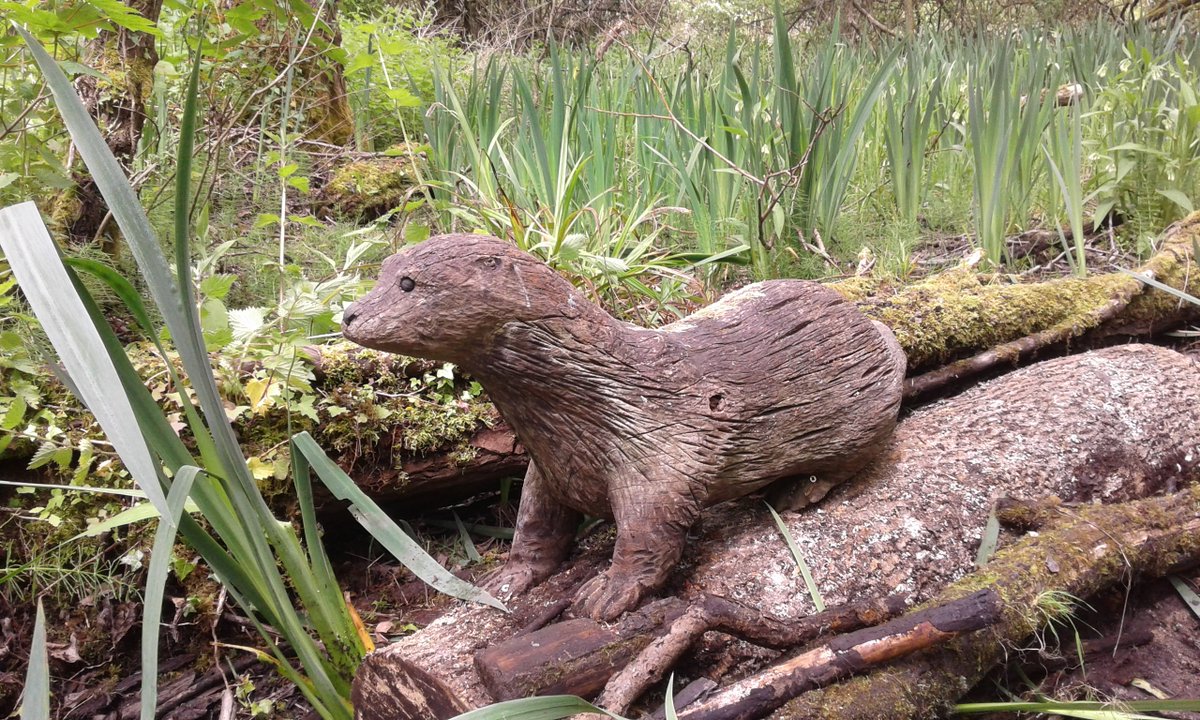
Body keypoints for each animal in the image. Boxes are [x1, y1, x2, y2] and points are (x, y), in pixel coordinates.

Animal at [342, 234, 906, 621]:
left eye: (409, 284)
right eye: (381, 274)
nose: (348, 314)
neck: (594, 406)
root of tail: (875, 328)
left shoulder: (659, 462)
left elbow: (646, 536)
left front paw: (608, 592)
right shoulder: (548, 469)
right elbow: (533, 524)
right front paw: (508, 577)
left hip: (856, 415)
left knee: (859, 452)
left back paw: (797, 493)